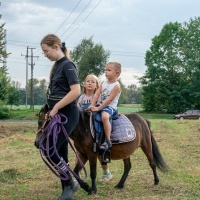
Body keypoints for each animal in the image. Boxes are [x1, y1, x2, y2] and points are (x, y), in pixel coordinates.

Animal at [35, 104, 168, 194]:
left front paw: (93, 189)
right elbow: (76, 172)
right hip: (126, 151)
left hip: (146, 146)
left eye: (43, 122)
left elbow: (93, 173)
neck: (83, 129)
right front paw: (86, 187)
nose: (36, 143)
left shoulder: (91, 154)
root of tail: (143, 120)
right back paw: (120, 185)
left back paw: (156, 181)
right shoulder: (82, 154)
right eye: (39, 121)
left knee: (152, 163)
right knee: (128, 167)